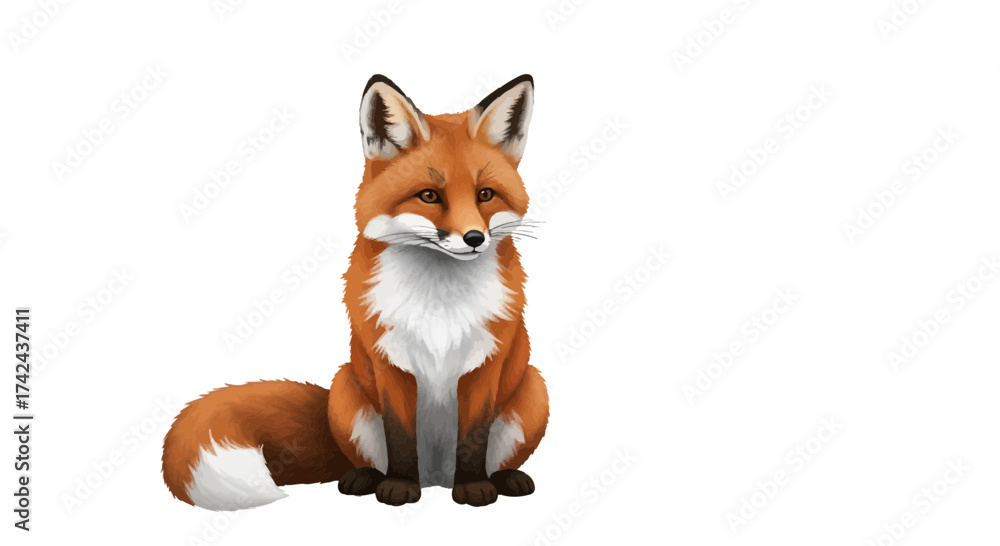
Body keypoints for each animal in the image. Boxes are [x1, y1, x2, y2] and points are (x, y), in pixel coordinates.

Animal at [162, 74, 547, 509]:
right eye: (430, 196)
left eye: (485, 195)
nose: (474, 238)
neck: (439, 304)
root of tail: (436, 478)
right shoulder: (389, 362)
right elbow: (400, 437)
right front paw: (399, 486)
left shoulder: (486, 363)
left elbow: (473, 436)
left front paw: (474, 487)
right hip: (345, 390)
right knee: (366, 458)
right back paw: (365, 478)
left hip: (533, 389)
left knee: (498, 456)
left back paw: (505, 478)